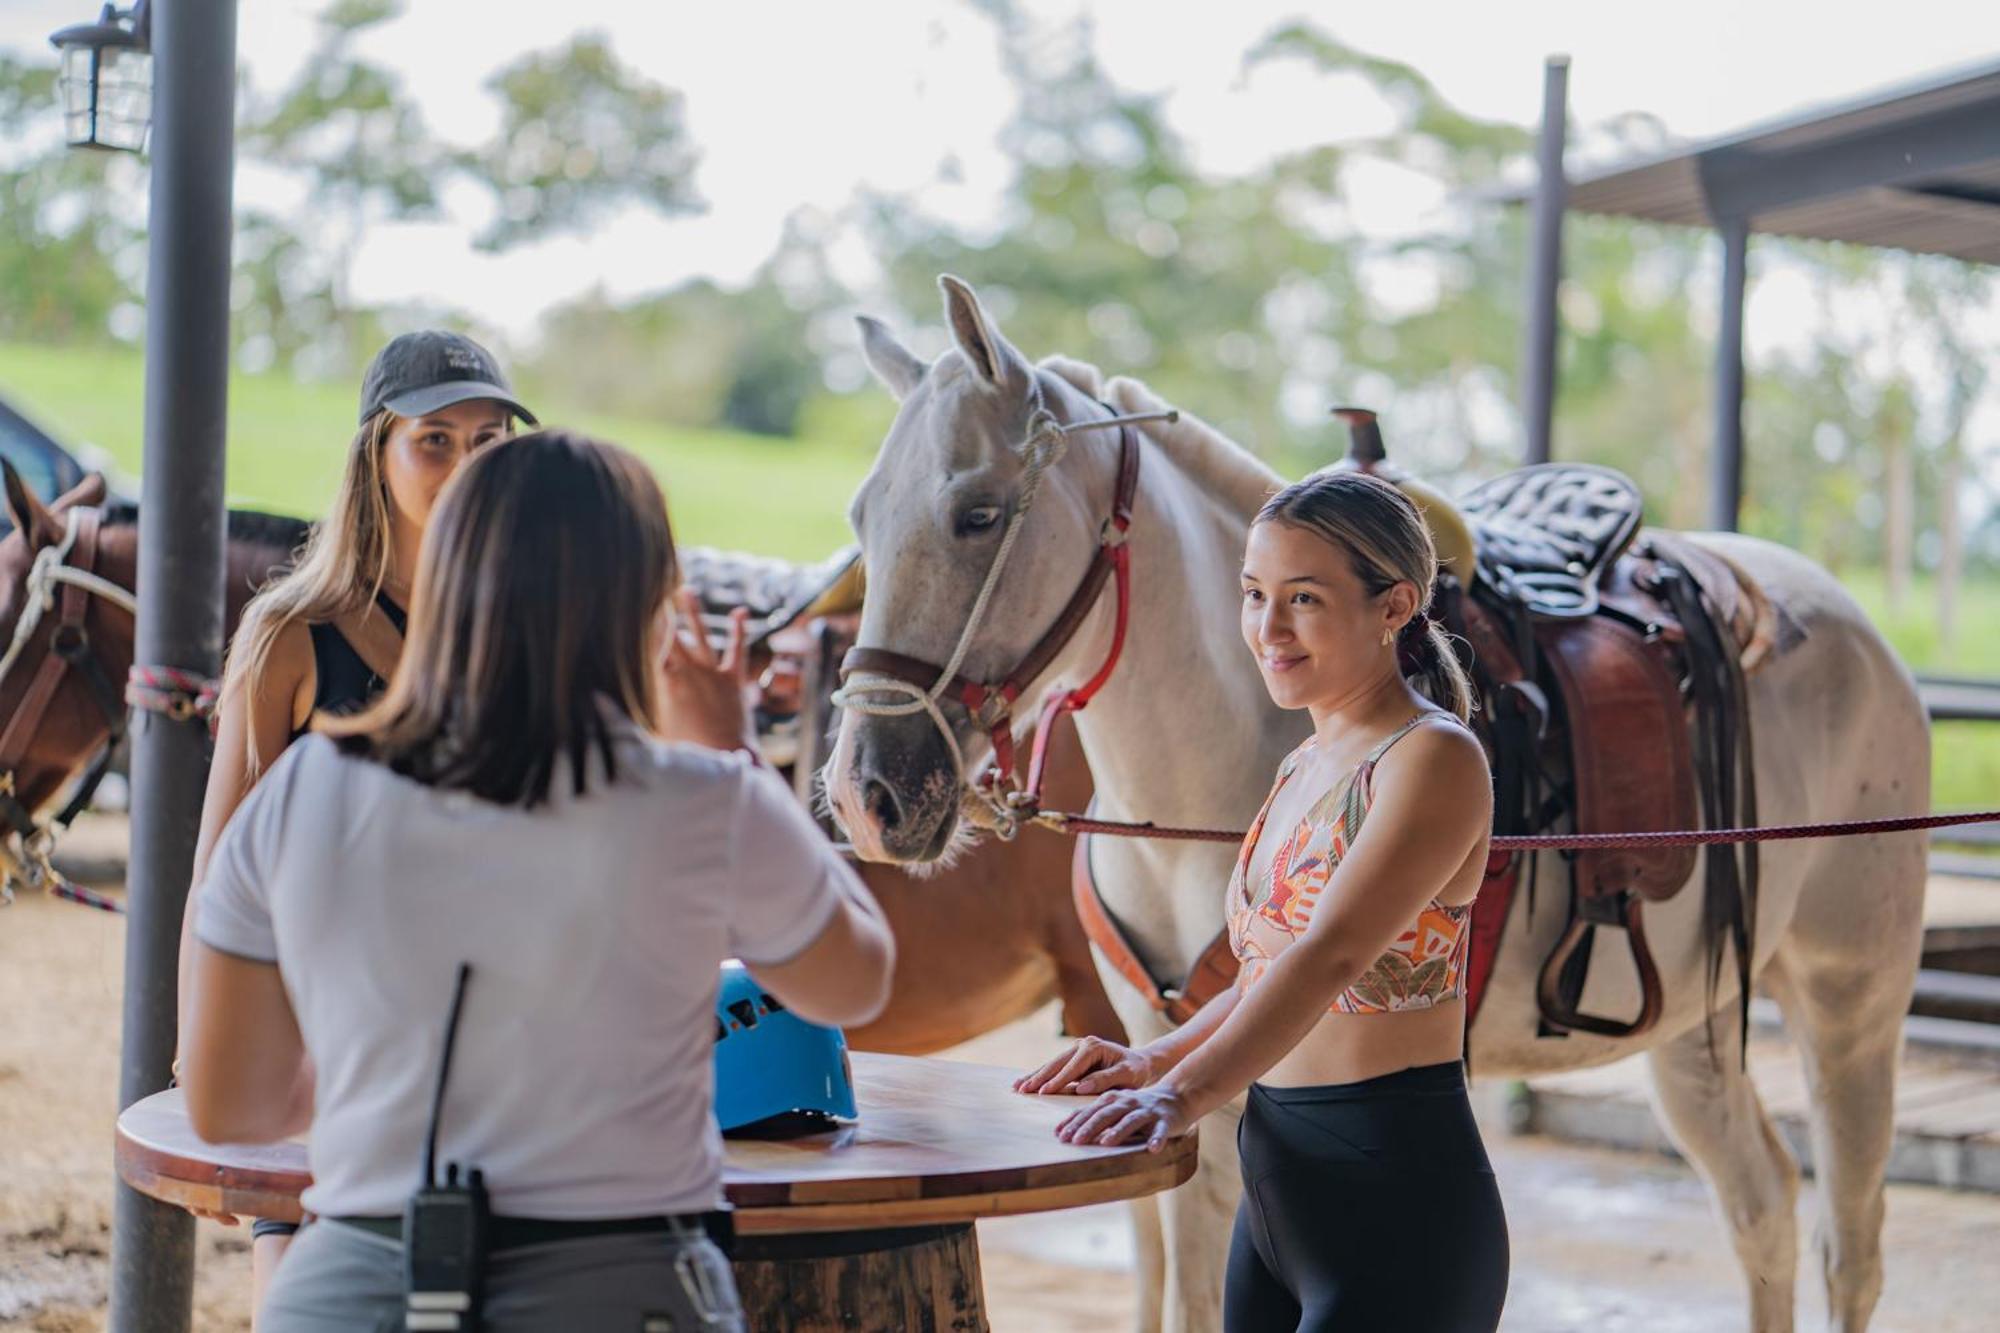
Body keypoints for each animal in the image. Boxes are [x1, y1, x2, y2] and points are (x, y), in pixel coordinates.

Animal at [824, 272, 1920, 1328]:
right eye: (861, 519)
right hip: (1693, 1024)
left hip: (1850, 1004)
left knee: (1850, 1244)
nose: (865, 792)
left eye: (977, 513)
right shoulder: (1165, 1060)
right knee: (1761, 1206)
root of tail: (1854, 629)